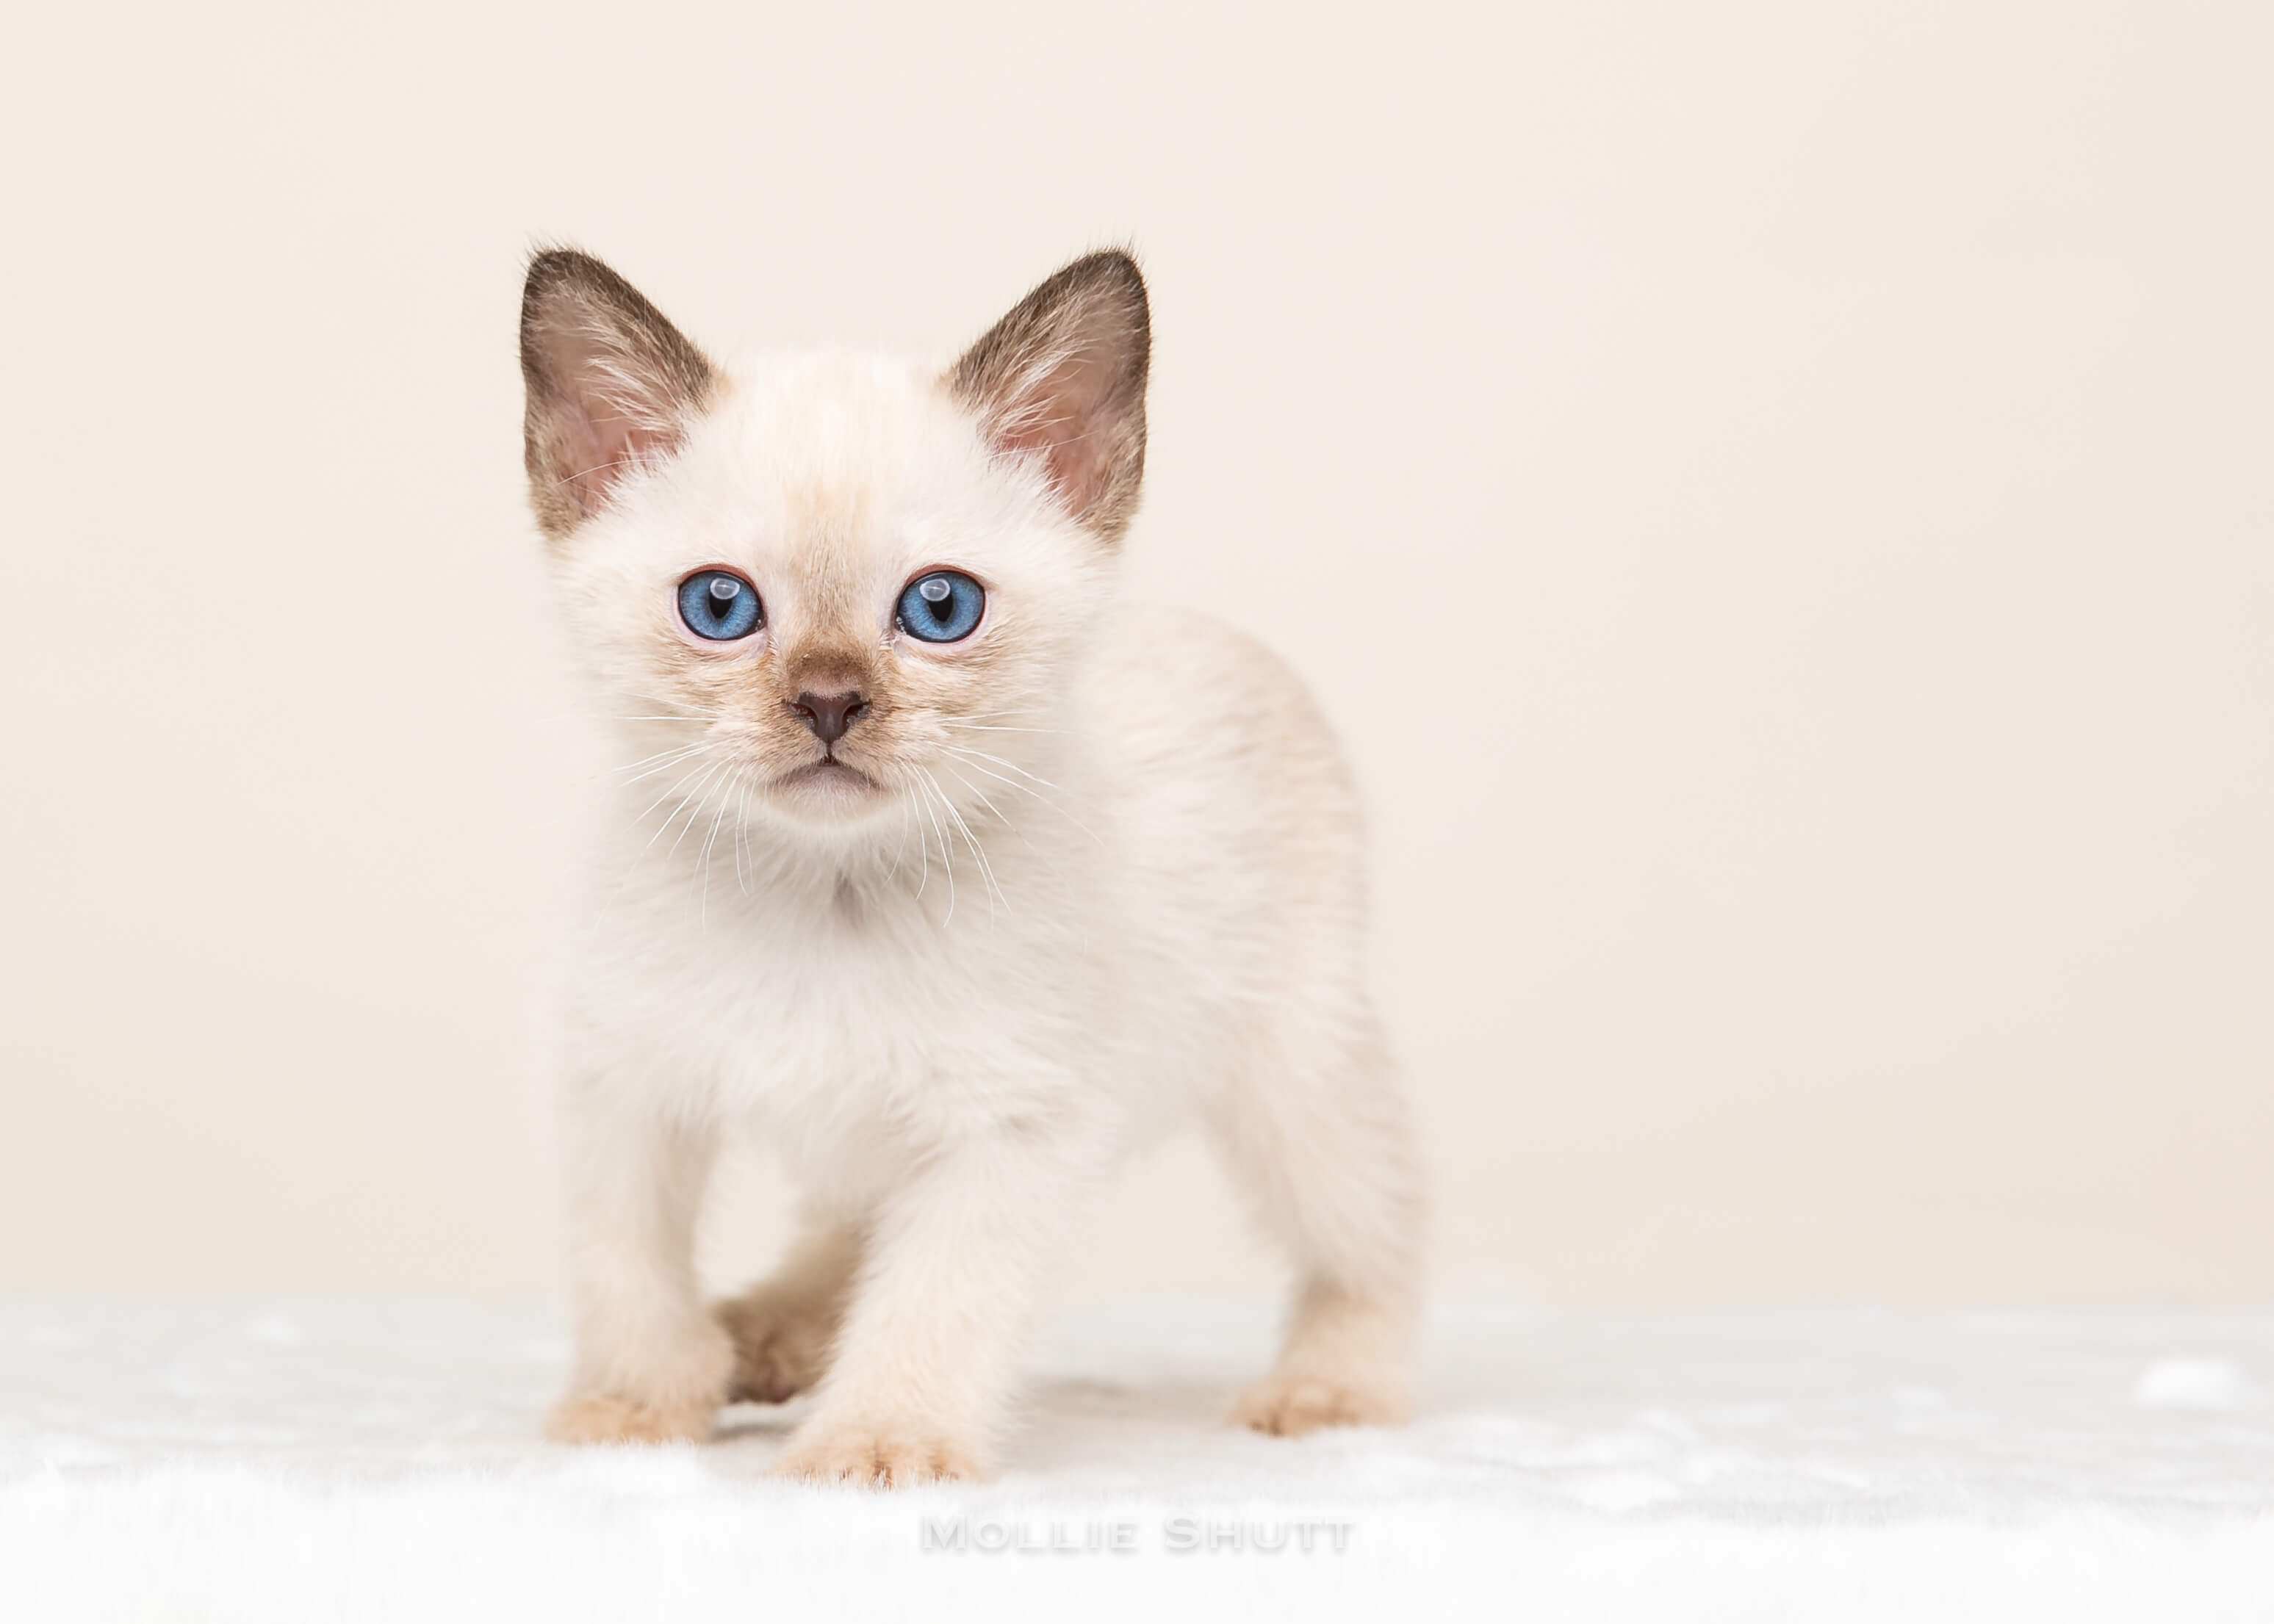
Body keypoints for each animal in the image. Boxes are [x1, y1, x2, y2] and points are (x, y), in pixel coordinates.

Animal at [522, 243, 1428, 1483]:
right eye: (719, 604)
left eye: (938, 607)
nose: (827, 701)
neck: (826, 892)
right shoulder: (626, 1092)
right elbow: (629, 1272)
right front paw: (630, 1409)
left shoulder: (1006, 1130)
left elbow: (932, 1300)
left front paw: (877, 1443)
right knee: (844, 1220)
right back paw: (773, 1334)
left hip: (1298, 1077)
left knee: (1379, 1230)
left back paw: (1334, 1385)